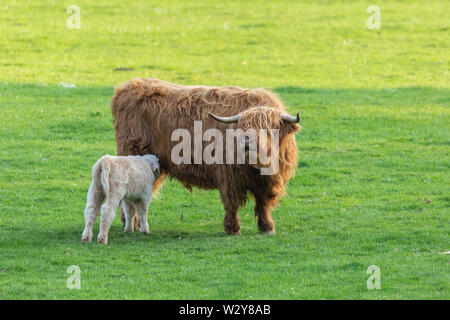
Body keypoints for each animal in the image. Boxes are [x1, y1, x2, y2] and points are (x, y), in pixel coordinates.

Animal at [110, 79, 300, 235]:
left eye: (268, 128)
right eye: (243, 126)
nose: (246, 144)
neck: (258, 167)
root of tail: (128, 86)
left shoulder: (270, 181)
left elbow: (264, 204)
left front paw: (267, 227)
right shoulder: (229, 177)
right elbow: (231, 203)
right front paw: (233, 229)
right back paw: (131, 224)